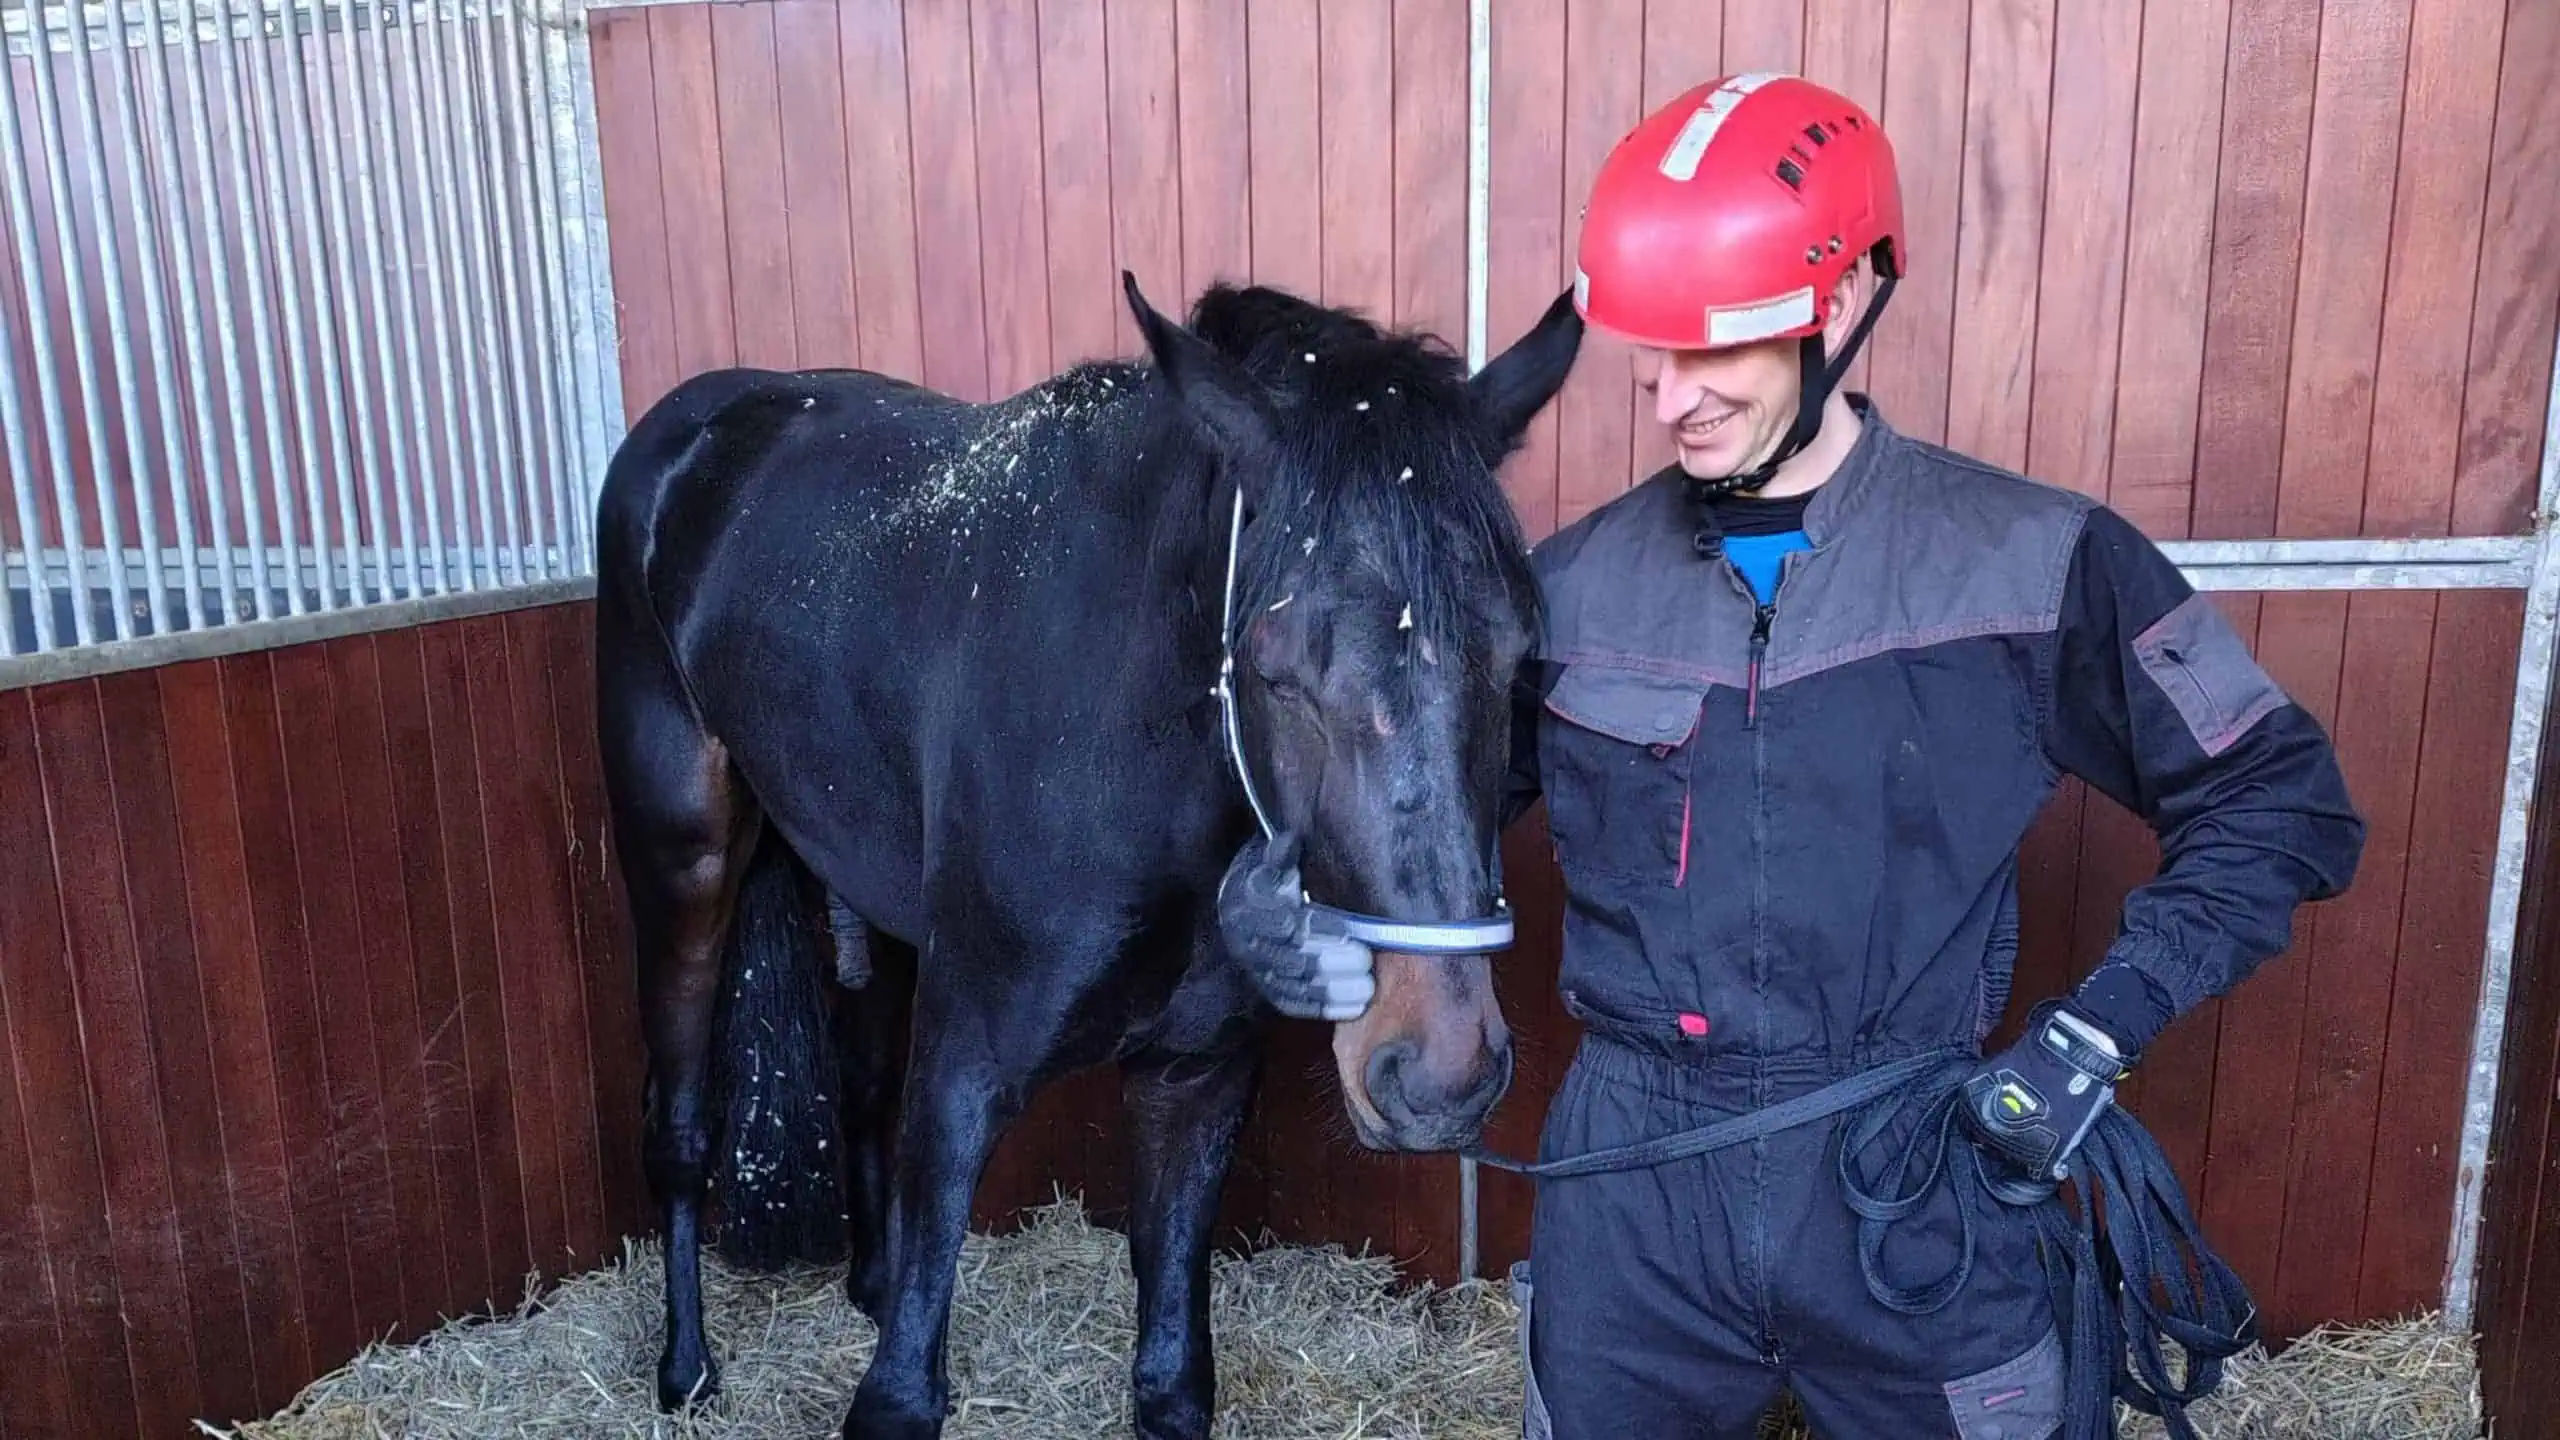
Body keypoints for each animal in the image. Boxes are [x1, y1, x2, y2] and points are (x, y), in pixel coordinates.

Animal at [592, 271, 1583, 1439]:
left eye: (1519, 655)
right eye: (1272, 666)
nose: (1441, 1073)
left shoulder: (1193, 1078)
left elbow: (1169, 1380)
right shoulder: (962, 1075)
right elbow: (900, 1393)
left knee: (861, 1082)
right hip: (682, 862)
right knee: (681, 1123)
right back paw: (685, 1368)